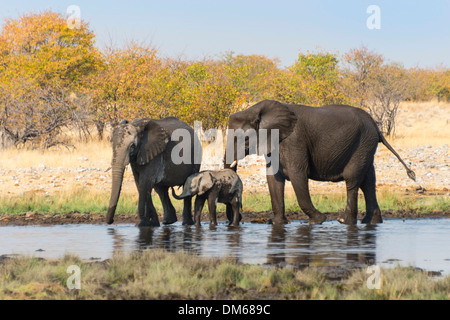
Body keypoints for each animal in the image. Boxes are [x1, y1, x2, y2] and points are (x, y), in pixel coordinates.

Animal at [223, 100, 416, 225]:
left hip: (362, 144)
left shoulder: (295, 140)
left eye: (243, 139)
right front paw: (276, 223)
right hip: (366, 147)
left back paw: (345, 221)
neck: (257, 110)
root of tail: (376, 126)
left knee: (353, 180)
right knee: (368, 181)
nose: (237, 219)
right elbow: (273, 180)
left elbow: (298, 176)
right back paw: (371, 221)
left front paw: (318, 221)